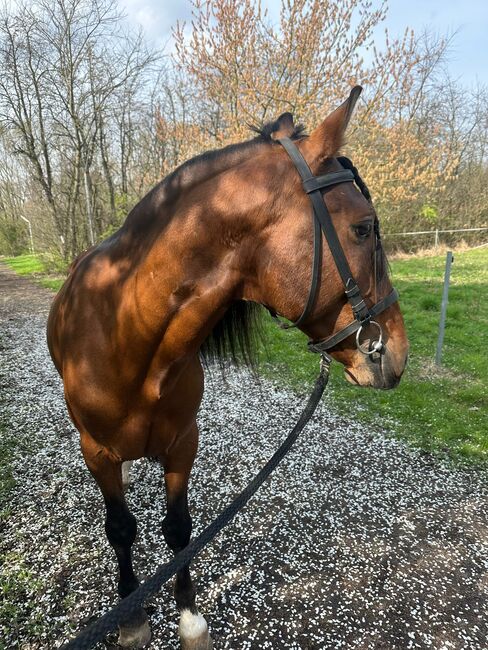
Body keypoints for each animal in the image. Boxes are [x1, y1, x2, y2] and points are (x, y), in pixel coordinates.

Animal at [48, 87, 408, 648]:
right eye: (363, 228)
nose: (397, 352)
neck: (127, 333)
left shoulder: (182, 444)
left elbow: (179, 530)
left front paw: (190, 618)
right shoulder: (98, 451)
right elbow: (121, 528)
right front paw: (131, 617)